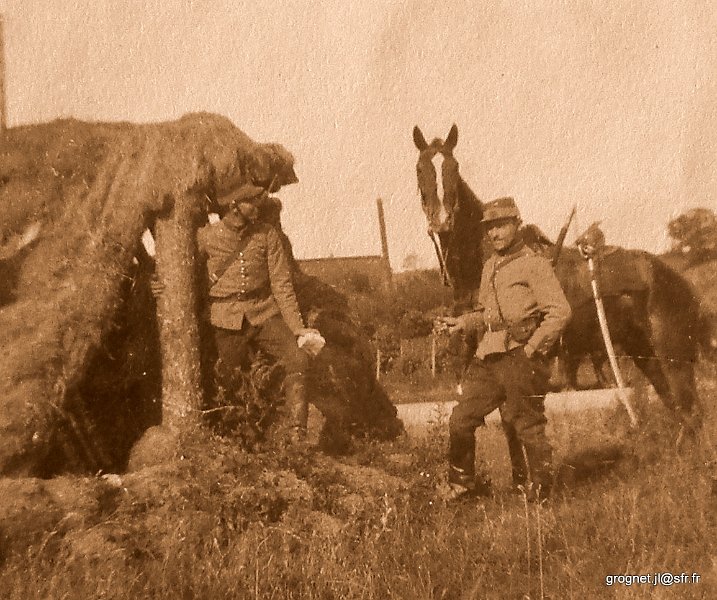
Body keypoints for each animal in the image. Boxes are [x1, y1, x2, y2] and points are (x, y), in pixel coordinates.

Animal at [412, 123, 708, 432]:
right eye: (420, 169)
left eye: (454, 167)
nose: (442, 222)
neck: (489, 259)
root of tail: (677, 280)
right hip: (645, 355)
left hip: (673, 359)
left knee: (691, 413)